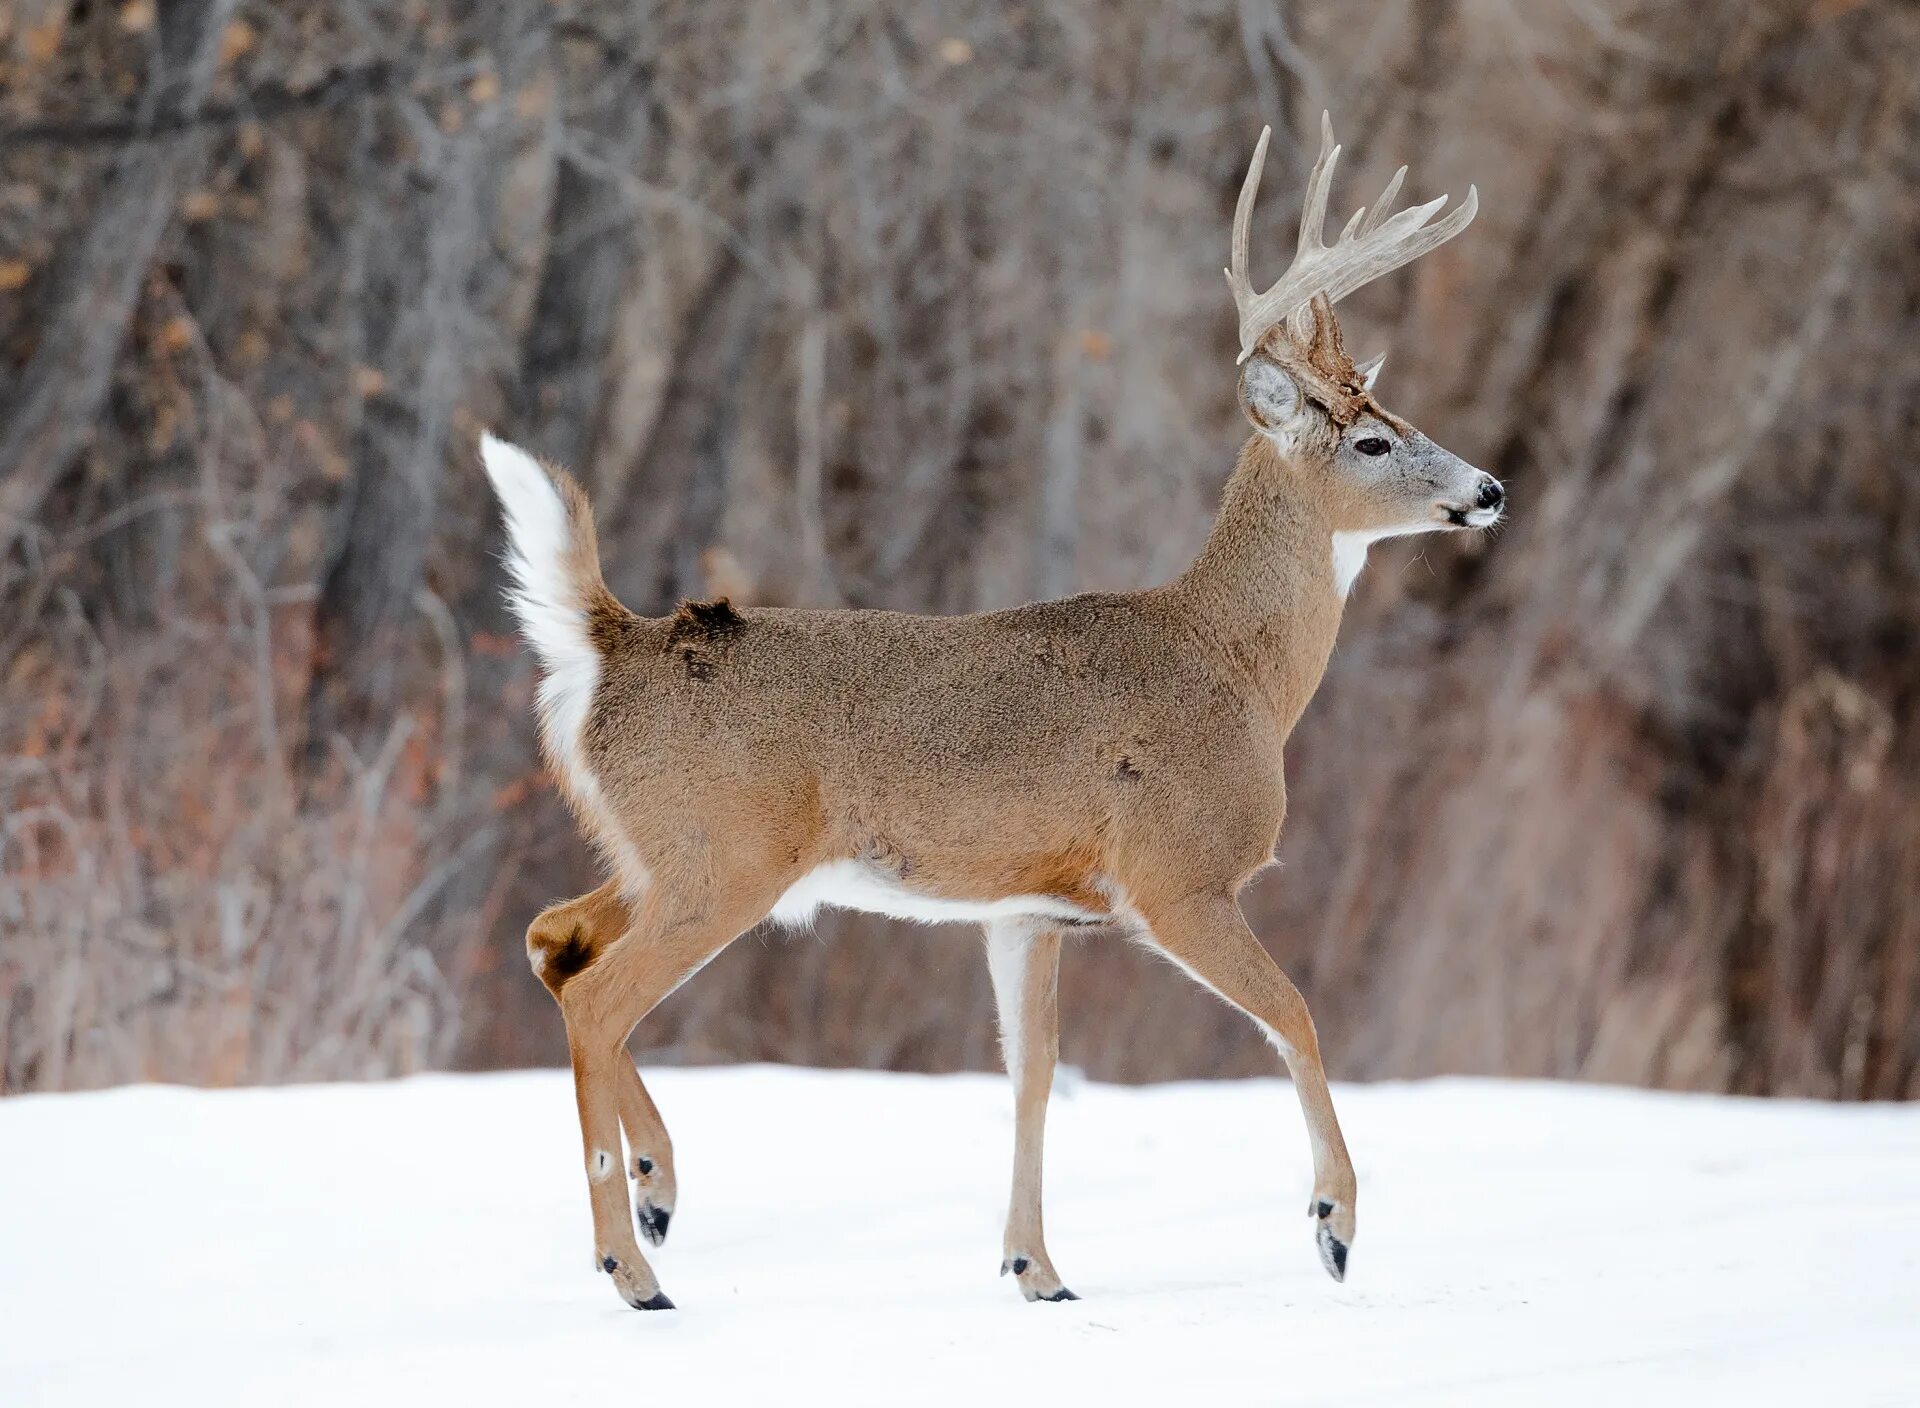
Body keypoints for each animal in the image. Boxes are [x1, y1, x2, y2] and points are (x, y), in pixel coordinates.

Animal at [483, 112, 1497, 1306]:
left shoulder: (1029, 911)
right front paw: (1334, 1224)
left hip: (659, 852)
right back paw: (631, 1264)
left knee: (554, 941)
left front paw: (1036, 1268)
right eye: (1373, 440)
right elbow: (1293, 1013)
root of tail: (612, 642)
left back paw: (655, 1186)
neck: (1237, 670)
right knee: (599, 994)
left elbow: (1033, 1071)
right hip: (721, 856)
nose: (1488, 491)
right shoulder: (1179, 875)